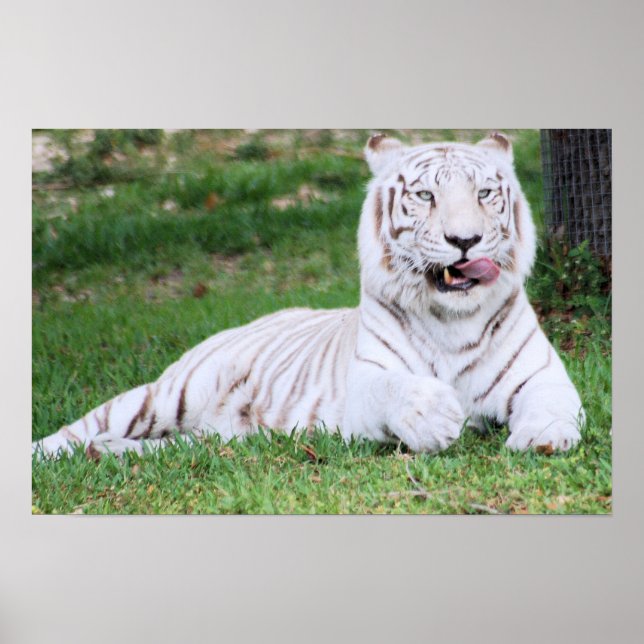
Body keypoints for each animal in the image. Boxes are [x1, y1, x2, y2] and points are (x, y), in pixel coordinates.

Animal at [32, 132, 584, 458]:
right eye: (426, 195)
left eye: (484, 193)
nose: (465, 240)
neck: (454, 319)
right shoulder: (364, 389)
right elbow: (394, 390)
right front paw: (434, 416)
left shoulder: (542, 374)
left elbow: (554, 401)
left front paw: (544, 437)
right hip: (165, 394)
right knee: (80, 428)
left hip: (203, 438)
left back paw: (110, 453)